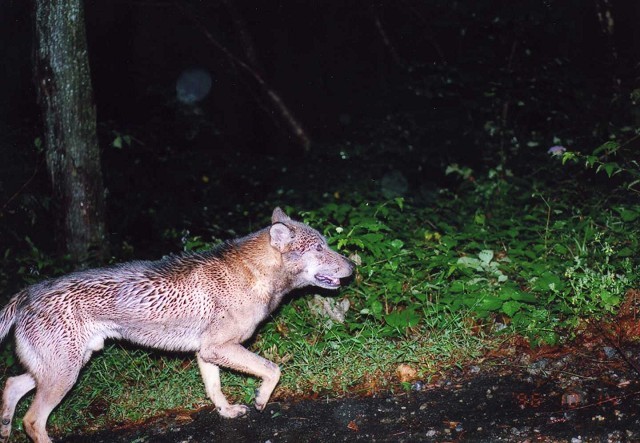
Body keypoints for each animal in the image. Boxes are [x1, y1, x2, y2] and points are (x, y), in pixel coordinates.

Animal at [0, 207, 354, 443]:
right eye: (320, 248)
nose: (352, 266)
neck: (255, 274)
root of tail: (26, 293)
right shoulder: (220, 348)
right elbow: (273, 370)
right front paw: (261, 399)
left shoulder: (207, 353)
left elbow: (215, 390)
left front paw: (227, 412)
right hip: (65, 374)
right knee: (32, 420)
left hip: (63, 368)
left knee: (11, 385)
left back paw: (4, 427)